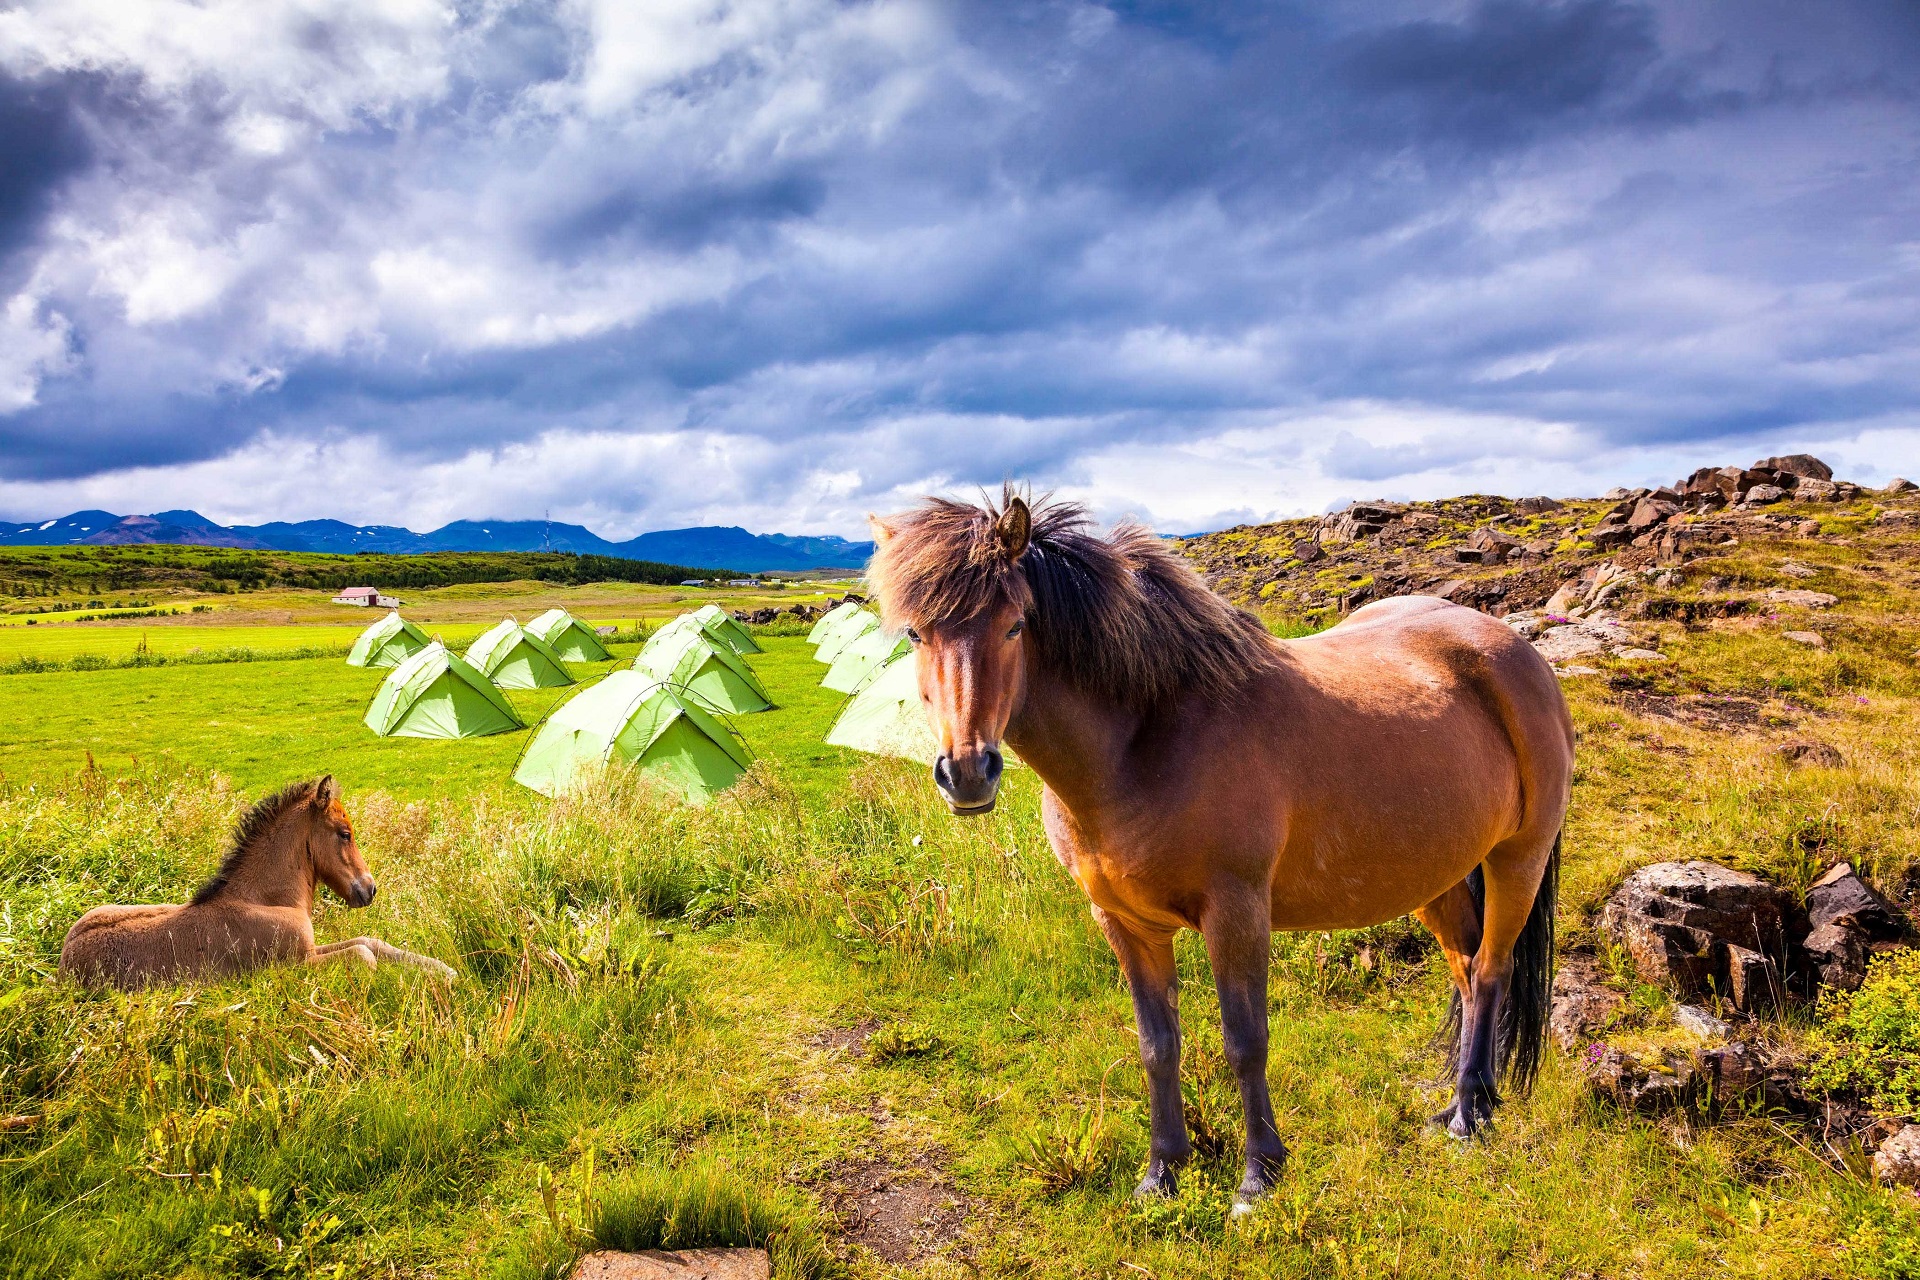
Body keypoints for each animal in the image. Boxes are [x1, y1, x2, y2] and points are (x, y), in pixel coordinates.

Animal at [60, 771, 456, 990]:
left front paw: (444, 971)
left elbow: (370, 942)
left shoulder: (309, 947)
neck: (265, 899)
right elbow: (364, 955)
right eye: (345, 834)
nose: (369, 888)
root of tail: (62, 965)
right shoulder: (294, 962)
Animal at [871, 491, 1574, 1212]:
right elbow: (1158, 1045)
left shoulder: (1235, 913)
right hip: (1440, 875)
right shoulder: (1125, 923)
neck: (1144, 741)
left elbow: (1245, 1041)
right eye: (914, 635)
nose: (967, 773)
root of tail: (1516, 651)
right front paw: (1162, 1172)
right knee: (1465, 971)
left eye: (1015, 626)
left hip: (1517, 857)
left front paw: (1259, 1174)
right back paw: (1462, 1103)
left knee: (1490, 970)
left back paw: (1469, 1115)